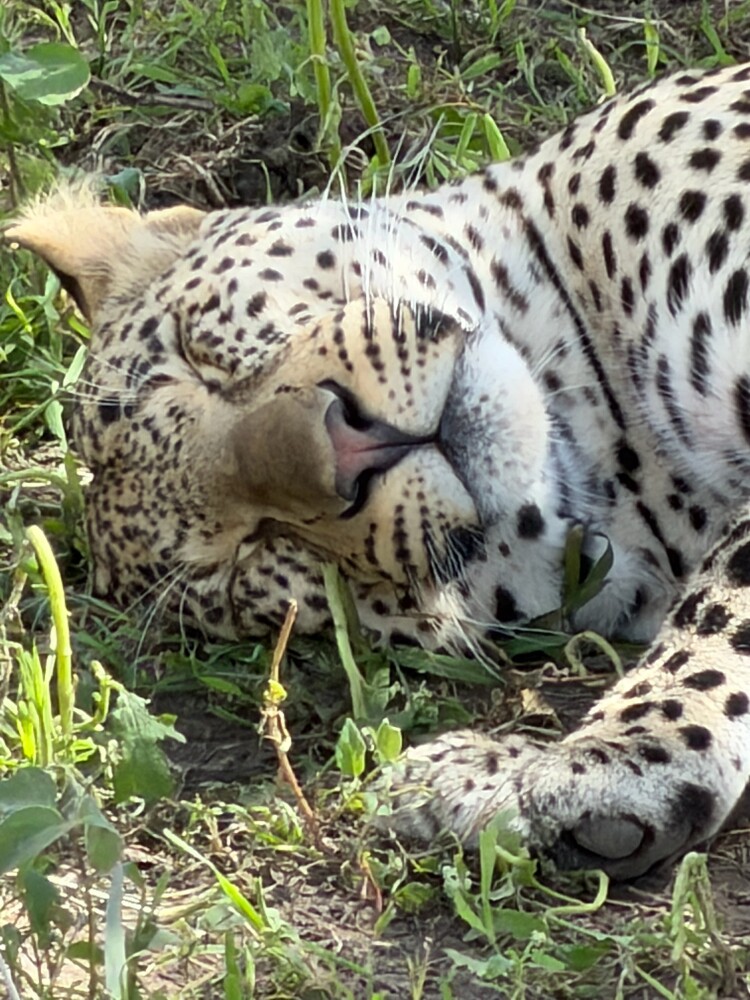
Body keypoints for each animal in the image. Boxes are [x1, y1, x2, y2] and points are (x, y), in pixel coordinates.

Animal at [9, 61, 750, 880]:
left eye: (195, 356)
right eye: (251, 555)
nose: (346, 447)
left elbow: (724, 593)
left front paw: (609, 753)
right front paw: (502, 783)